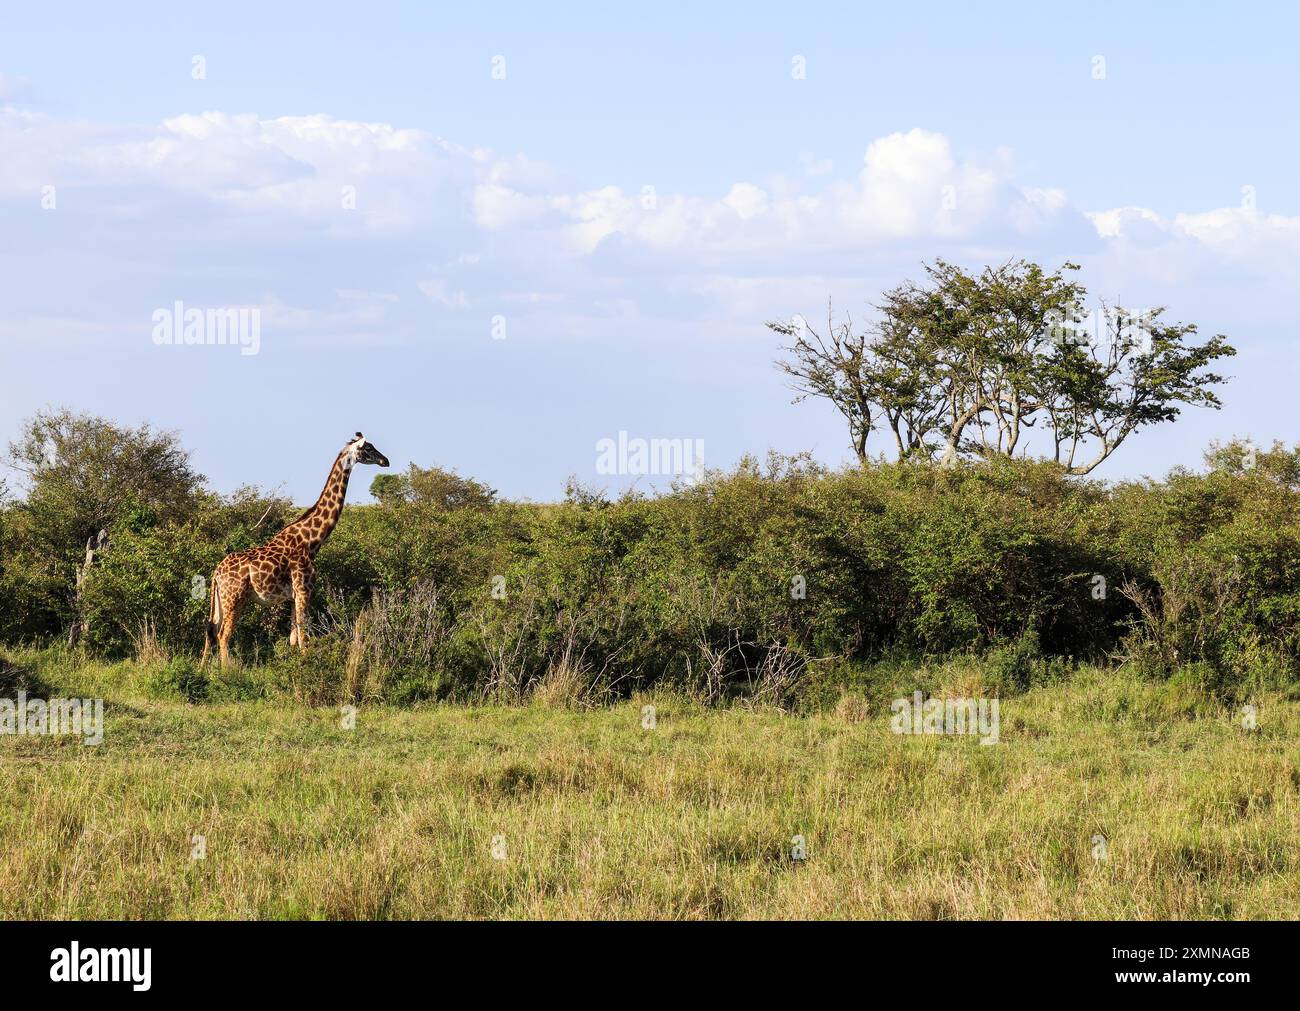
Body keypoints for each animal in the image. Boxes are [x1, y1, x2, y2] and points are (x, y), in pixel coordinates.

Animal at [197, 431, 387, 662]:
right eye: (368, 448)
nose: (385, 461)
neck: (312, 540)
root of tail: (217, 573)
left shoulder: (295, 594)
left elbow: (294, 639)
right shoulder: (304, 588)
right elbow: (304, 637)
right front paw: (306, 665)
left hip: (220, 599)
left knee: (211, 630)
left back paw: (206, 668)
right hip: (235, 597)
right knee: (223, 635)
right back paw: (229, 669)